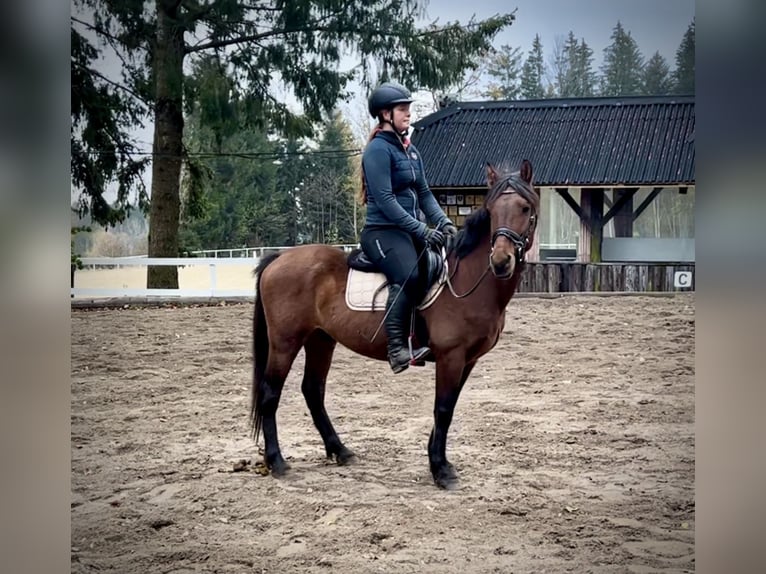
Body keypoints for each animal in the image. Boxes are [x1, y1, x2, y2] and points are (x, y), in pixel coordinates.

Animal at [252, 159, 540, 490]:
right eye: (492, 210)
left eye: (524, 208)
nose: (501, 261)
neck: (466, 279)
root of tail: (278, 259)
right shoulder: (451, 356)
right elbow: (443, 409)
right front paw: (441, 471)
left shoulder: (468, 360)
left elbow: (449, 407)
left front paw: (437, 461)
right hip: (285, 342)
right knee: (270, 392)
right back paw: (276, 461)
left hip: (320, 339)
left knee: (313, 390)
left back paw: (340, 450)